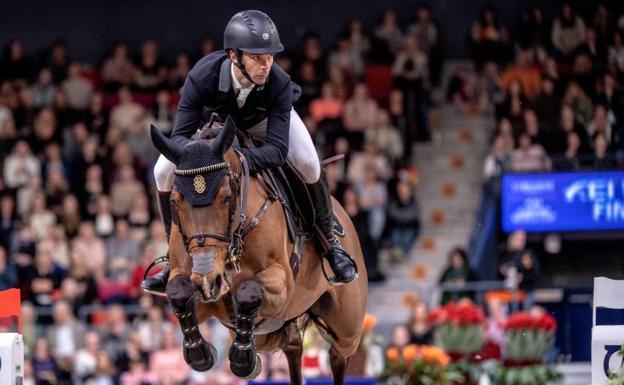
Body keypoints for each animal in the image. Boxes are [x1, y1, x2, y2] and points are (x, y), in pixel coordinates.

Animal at [149, 118, 368, 384]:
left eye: (226, 197)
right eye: (175, 201)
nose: (209, 282)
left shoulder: (282, 281)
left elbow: (248, 290)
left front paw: (243, 360)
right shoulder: (194, 289)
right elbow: (177, 291)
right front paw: (200, 353)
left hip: (347, 327)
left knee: (338, 356)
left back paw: (339, 261)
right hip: (273, 330)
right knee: (293, 345)